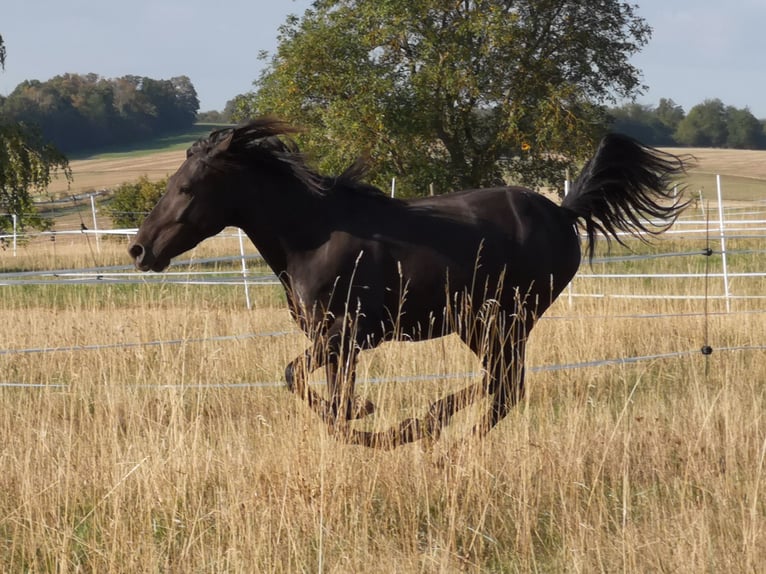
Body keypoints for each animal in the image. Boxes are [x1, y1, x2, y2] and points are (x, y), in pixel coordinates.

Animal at [129, 118, 688, 449]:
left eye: (187, 187)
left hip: (502, 317)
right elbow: (328, 395)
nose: (139, 250)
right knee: (502, 384)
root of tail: (563, 212)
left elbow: (296, 379)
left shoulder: (347, 333)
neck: (313, 236)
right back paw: (437, 432)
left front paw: (372, 420)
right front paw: (362, 416)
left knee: (505, 384)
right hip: (482, 323)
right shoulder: (336, 342)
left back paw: (436, 435)